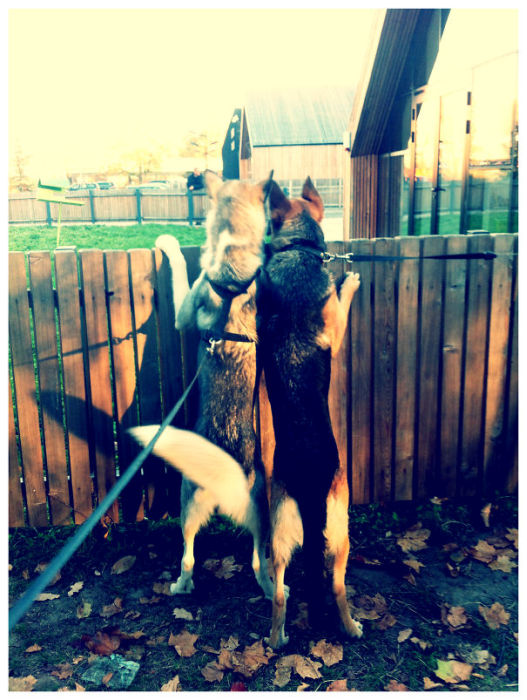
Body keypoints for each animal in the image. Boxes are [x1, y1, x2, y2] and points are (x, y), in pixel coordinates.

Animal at [131, 171, 276, 600]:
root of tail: (224, 478)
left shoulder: (184, 310)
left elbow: (180, 270)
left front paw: (169, 244)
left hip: (187, 500)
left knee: (188, 557)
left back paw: (180, 586)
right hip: (261, 509)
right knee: (259, 561)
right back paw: (270, 588)